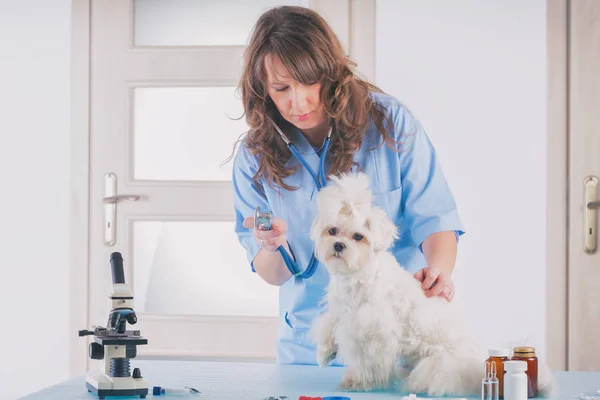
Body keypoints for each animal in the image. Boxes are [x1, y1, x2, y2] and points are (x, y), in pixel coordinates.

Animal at [310, 173, 552, 396]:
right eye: (332, 231)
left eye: (358, 236)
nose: (338, 245)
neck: (357, 276)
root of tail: (479, 362)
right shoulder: (342, 310)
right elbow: (328, 325)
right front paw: (325, 352)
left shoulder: (372, 330)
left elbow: (366, 361)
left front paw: (358, 381)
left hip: (440, 363)